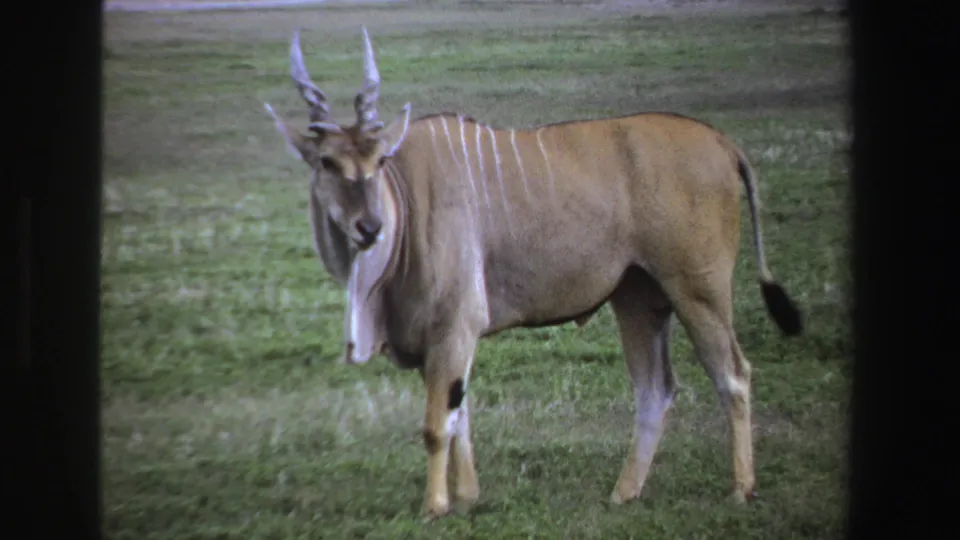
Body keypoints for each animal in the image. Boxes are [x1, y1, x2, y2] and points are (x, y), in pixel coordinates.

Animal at [264, 26, 803, 520]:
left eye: (378, 160)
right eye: (327, 162)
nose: (368, 227)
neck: (406, 199)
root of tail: (722, 142)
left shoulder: (453, 326)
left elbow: (437, 426)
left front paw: (435, 506)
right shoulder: (440, 340)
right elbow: (459, 415)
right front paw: (468, 497)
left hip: (697, 291)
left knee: (733, 375)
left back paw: (740, 489)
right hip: (637, 296)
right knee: (655, 389)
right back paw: (623, 493)